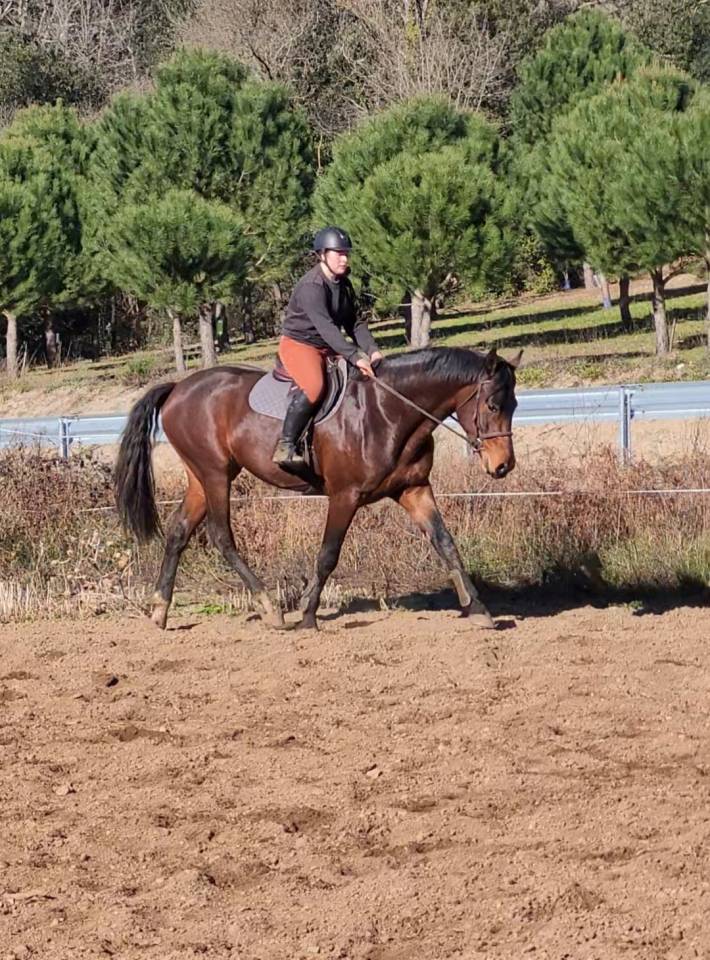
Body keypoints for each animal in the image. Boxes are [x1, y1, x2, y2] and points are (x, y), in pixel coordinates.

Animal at [114, 345, 520, 631]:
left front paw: (478, 609)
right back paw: (269, 607)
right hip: (215, 475)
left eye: (515, 404)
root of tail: (178, 388)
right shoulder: (345, 496)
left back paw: (159, 610)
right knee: (220, 535)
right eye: (492, 405)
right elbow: (328, 555)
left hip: (202, 477)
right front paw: (308, 614)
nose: (503, 466)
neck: (389, 411)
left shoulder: (414, 489)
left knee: (179, 531)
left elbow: (446, 543)